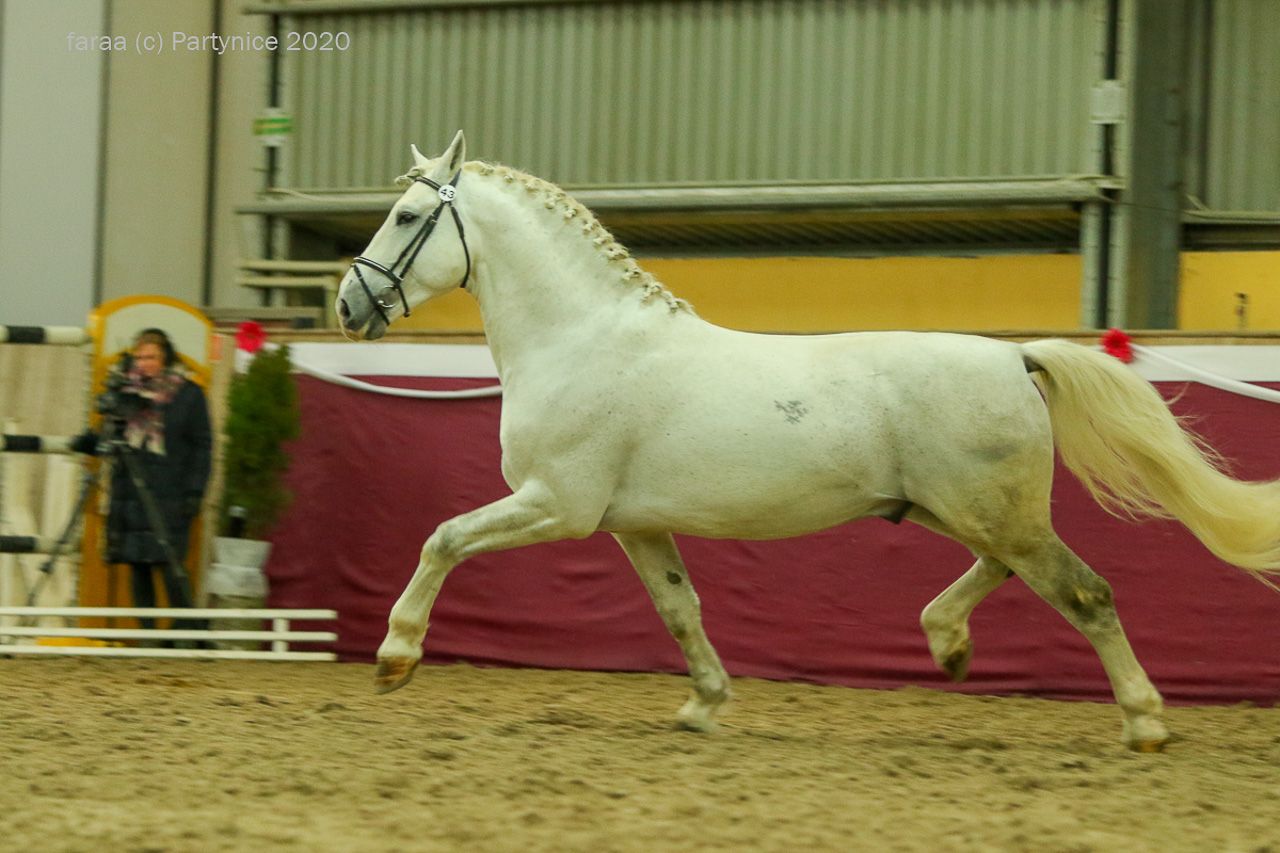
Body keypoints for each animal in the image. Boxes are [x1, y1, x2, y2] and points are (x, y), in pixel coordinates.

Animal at [335, 131, 1280, 751]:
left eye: (408, 215)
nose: (349, 305)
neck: (585, 340)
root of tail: (1013, 354)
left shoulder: (555, 505)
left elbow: (442, 538)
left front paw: (394, 656)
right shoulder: (633, 522)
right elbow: (680, 608)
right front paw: (704, 705)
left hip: (994, 513)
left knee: (1085, 593)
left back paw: (1144, 720)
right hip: (958, 511)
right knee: (1009, 572)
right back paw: (949, 641)